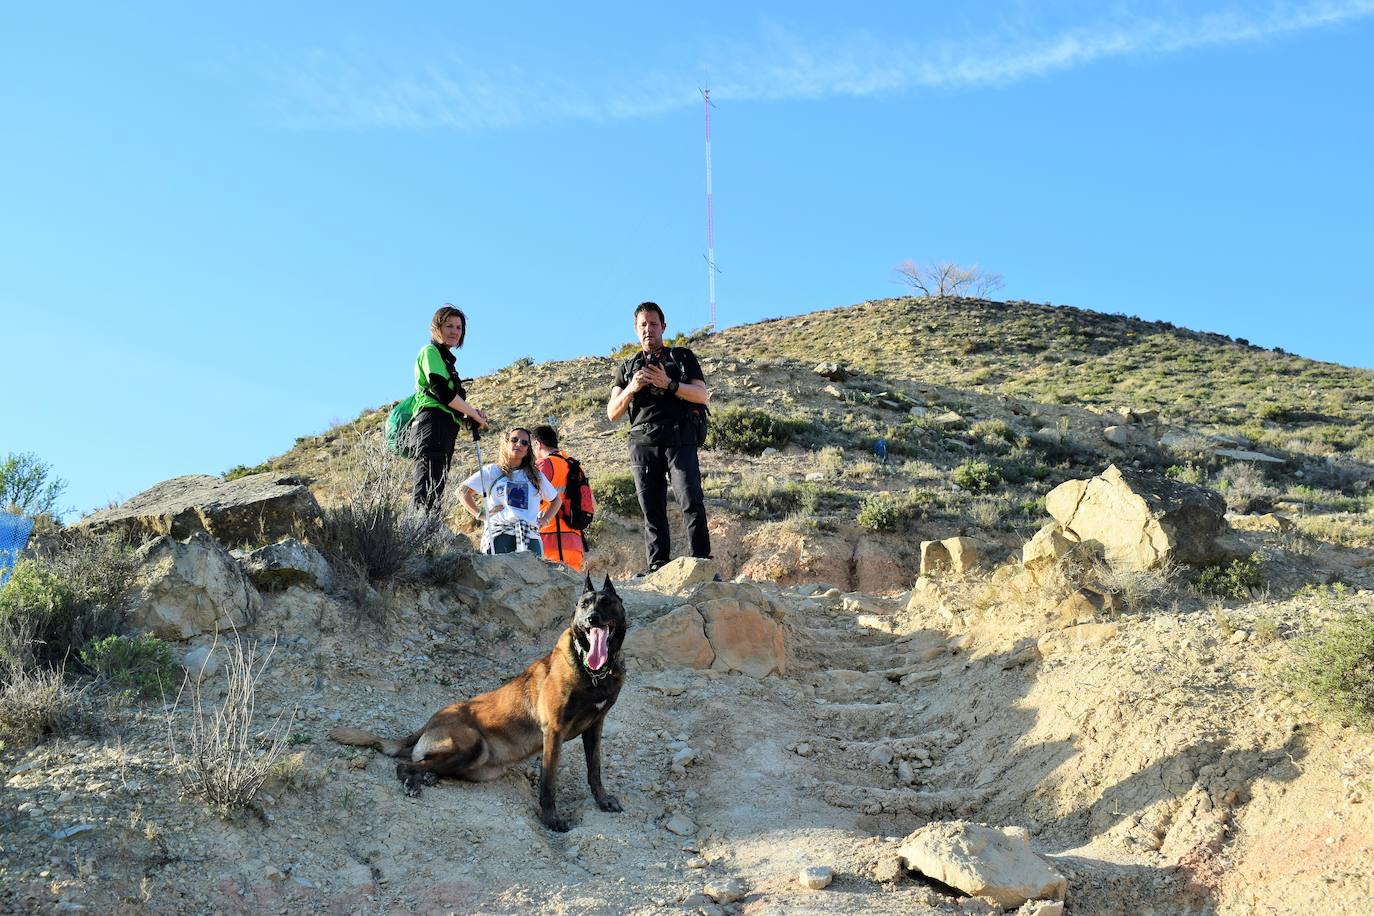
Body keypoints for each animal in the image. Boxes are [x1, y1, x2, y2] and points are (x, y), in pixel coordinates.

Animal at [329, 576, 629, 834]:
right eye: (584, 604)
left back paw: (428, 777)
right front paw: (551, 819)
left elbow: (594, 769)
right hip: (474, 746)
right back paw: (413, 783)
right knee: (406, 766)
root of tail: (428, 723)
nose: (592, 619)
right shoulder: (553, 732)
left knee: (425, 765)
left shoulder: (595, 727)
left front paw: (603, 800)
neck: (593, 673)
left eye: (606, 602)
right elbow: (548, 783)